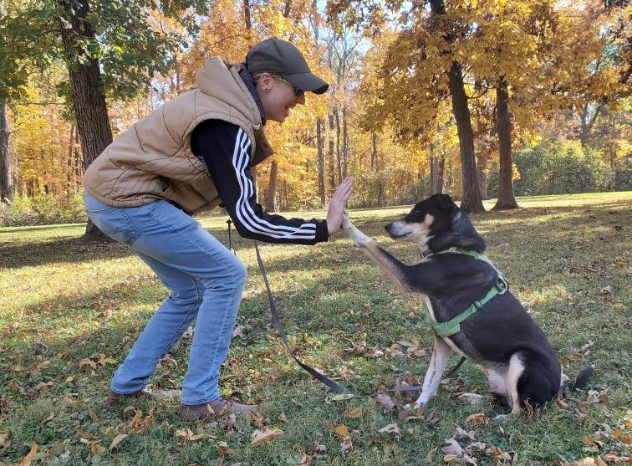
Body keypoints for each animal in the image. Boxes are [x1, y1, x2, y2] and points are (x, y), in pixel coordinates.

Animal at [340, 195, 592, 414]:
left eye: (418, 212)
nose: (387, 226)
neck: (454, 246)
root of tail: (558, 391)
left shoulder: (410, 277)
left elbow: (370, 243)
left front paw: (345, 220)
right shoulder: (441, 341)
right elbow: (430, 379)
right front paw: (418, 406)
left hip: (522, 359)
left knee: (519, 409)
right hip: (494, 375)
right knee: (502, 399)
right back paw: (472, 398)